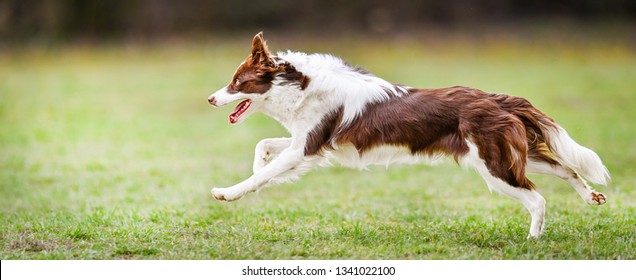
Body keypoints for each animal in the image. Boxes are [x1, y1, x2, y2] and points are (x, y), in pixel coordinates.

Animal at [206, 32, 608, 238]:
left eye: (237, 82)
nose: (210, 98)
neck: (300, 85)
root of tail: (498, 98)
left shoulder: (305, 149)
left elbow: (261, 175)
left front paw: (228, 193)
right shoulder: (309, 145)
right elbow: (264, 148)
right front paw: (258, 165)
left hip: (494, 166)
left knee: (537, 199)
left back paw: (532, 240)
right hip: (510, 156)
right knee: (566, 168)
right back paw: (591, 197)